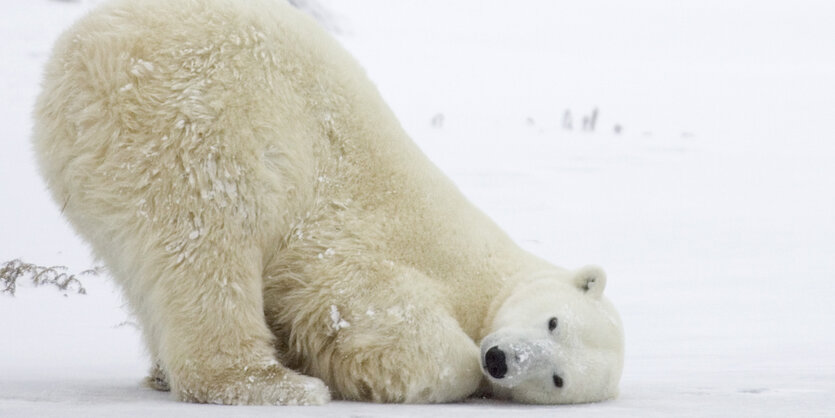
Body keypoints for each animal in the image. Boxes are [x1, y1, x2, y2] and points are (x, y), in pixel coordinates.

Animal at [32, 0, 624, 406]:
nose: (500, 359)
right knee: (212, 247)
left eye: (558, 377)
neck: (487, 280)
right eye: (553, 322)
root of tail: (81, 55)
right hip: (197, 126)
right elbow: (385, 317)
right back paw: (274, 384)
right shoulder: (382, 244)